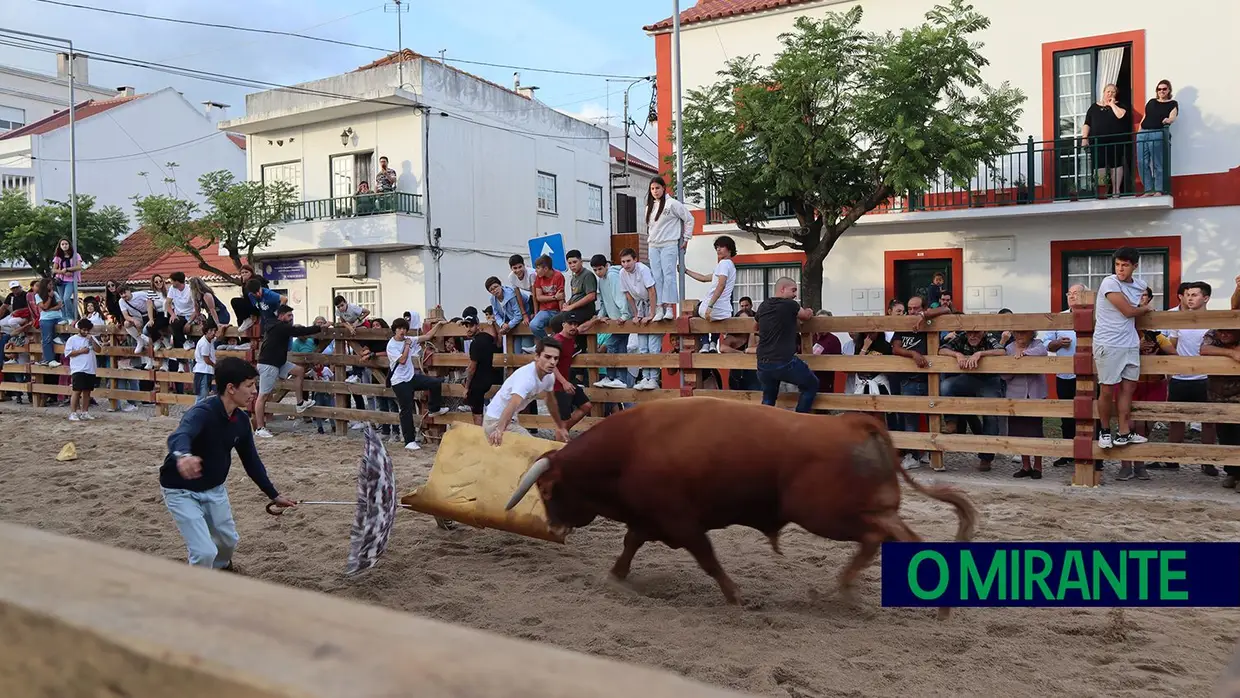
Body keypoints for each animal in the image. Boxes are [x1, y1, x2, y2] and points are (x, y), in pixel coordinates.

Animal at [503, 396, 977, 619]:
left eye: (547, 490)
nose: (555, 529)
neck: (630, 447)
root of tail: (854, 423)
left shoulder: (681, 523)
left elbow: (708, 560)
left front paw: (735, 598)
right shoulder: (652, 519)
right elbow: (630, 545)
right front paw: (615, 579)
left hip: (826, 514)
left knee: (884, 537)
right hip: (861, 511)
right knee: (896, 537)